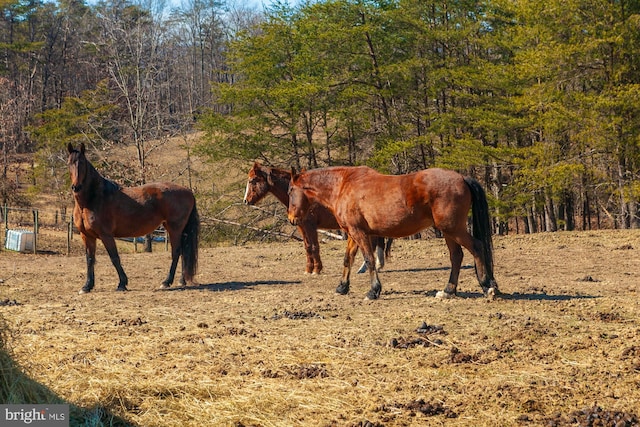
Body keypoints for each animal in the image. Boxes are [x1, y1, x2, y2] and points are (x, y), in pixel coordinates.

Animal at [66, 144, 199, 294]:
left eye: (82, 163)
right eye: (69, 163)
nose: (76, 187)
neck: (93, 200)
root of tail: (188, 191)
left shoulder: (106, 235)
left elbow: (114, 258)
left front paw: (122, 283)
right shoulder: (87, 236)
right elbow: (90, 259)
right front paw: (87, 286)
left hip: (174, 228)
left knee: (176, 252)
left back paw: (166, 282)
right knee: (183, 251)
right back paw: (182, 281)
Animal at [242, 162, 388, 276]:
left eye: (252, 180)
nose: (246, 201)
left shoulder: (310, 226)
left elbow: (314, 246)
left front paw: (317, 269)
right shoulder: (301, 226)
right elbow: (307, 247)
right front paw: (308, 269)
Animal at [288, 166, 498, 300]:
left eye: (290, 190)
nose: (291, 218)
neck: (344, 185)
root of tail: (462, 178)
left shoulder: (359, 233)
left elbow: (369, 260)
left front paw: (373, 291)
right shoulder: (353, 234)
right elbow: (348, 259)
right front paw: (342, 287)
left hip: (453, 229)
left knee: (476, 247)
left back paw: (487, 286)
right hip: (449, 231)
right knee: (456, 256)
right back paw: (447, 291)